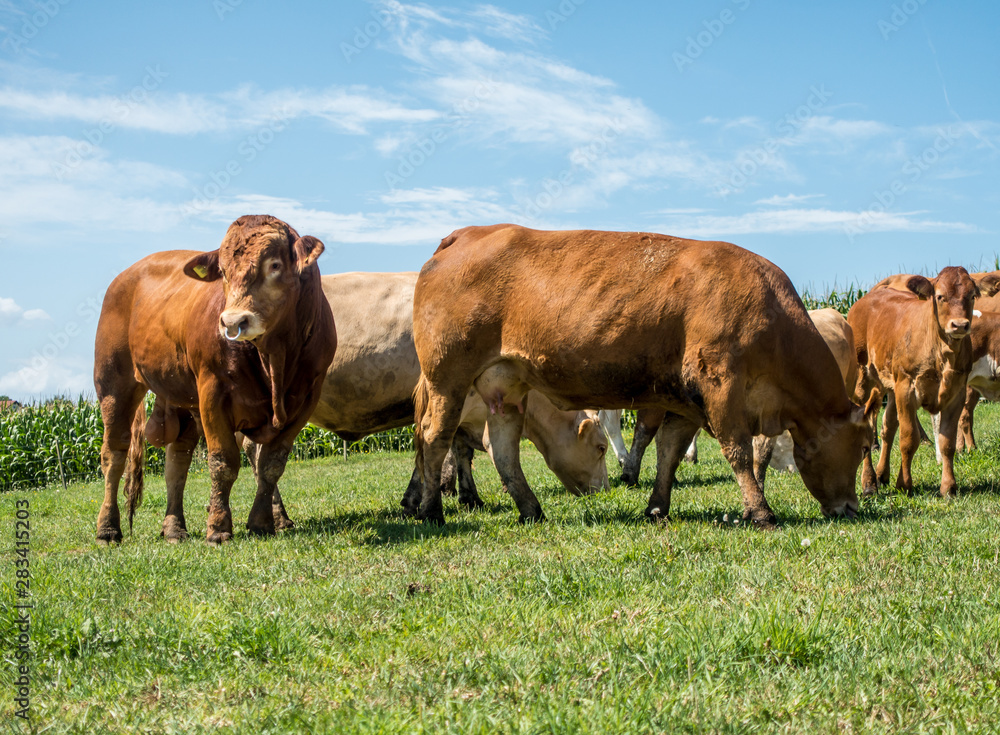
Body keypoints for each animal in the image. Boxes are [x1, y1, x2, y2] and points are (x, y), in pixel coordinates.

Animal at [94, 216, 336, 544]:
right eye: (222, 271)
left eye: (274, 265)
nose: (233, 321)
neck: (275, 358)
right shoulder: (212, 392)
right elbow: (223, 462)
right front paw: (219, 528)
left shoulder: (306, 400)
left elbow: (271, 464)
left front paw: (261, 522)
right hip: (113, 384)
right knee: (114, 454)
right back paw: (107, 529)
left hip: (182, 398)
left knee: (177, 461)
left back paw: (174, 527)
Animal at [848, 268, 996, 498]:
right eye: (940, 296)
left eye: (972, 296)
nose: (960, 325)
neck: (942, 353)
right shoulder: (907, 389)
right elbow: (909, 439)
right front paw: (904, 484)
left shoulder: (956, 394)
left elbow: (947, 442)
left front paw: (948, 487)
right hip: (863, 382)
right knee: (866, 424)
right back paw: (869, 482)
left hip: (890, 386)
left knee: (887, 427)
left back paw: (882, 475)